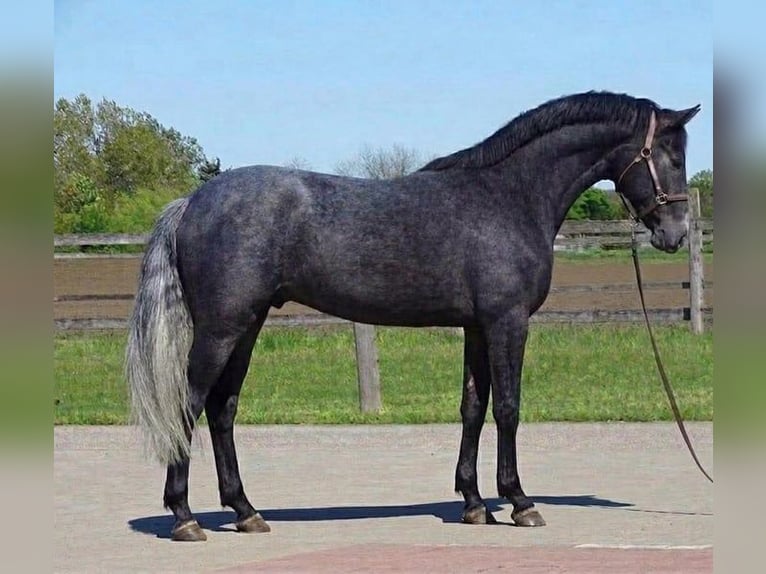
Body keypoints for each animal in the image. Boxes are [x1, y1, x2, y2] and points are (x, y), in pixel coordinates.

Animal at [126, 91, 700, 541]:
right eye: (671, 156)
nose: (673, 233)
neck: (509, 196)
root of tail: (192, 201)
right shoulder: (507, 322)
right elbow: (508, 408)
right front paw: (519, 502)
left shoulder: (476, 327)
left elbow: (473, 407)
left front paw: (474, 504)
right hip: (222, 328)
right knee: (189, 404)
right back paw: (184, 517)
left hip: (247, 327)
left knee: (222, 410)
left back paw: (246, 512)